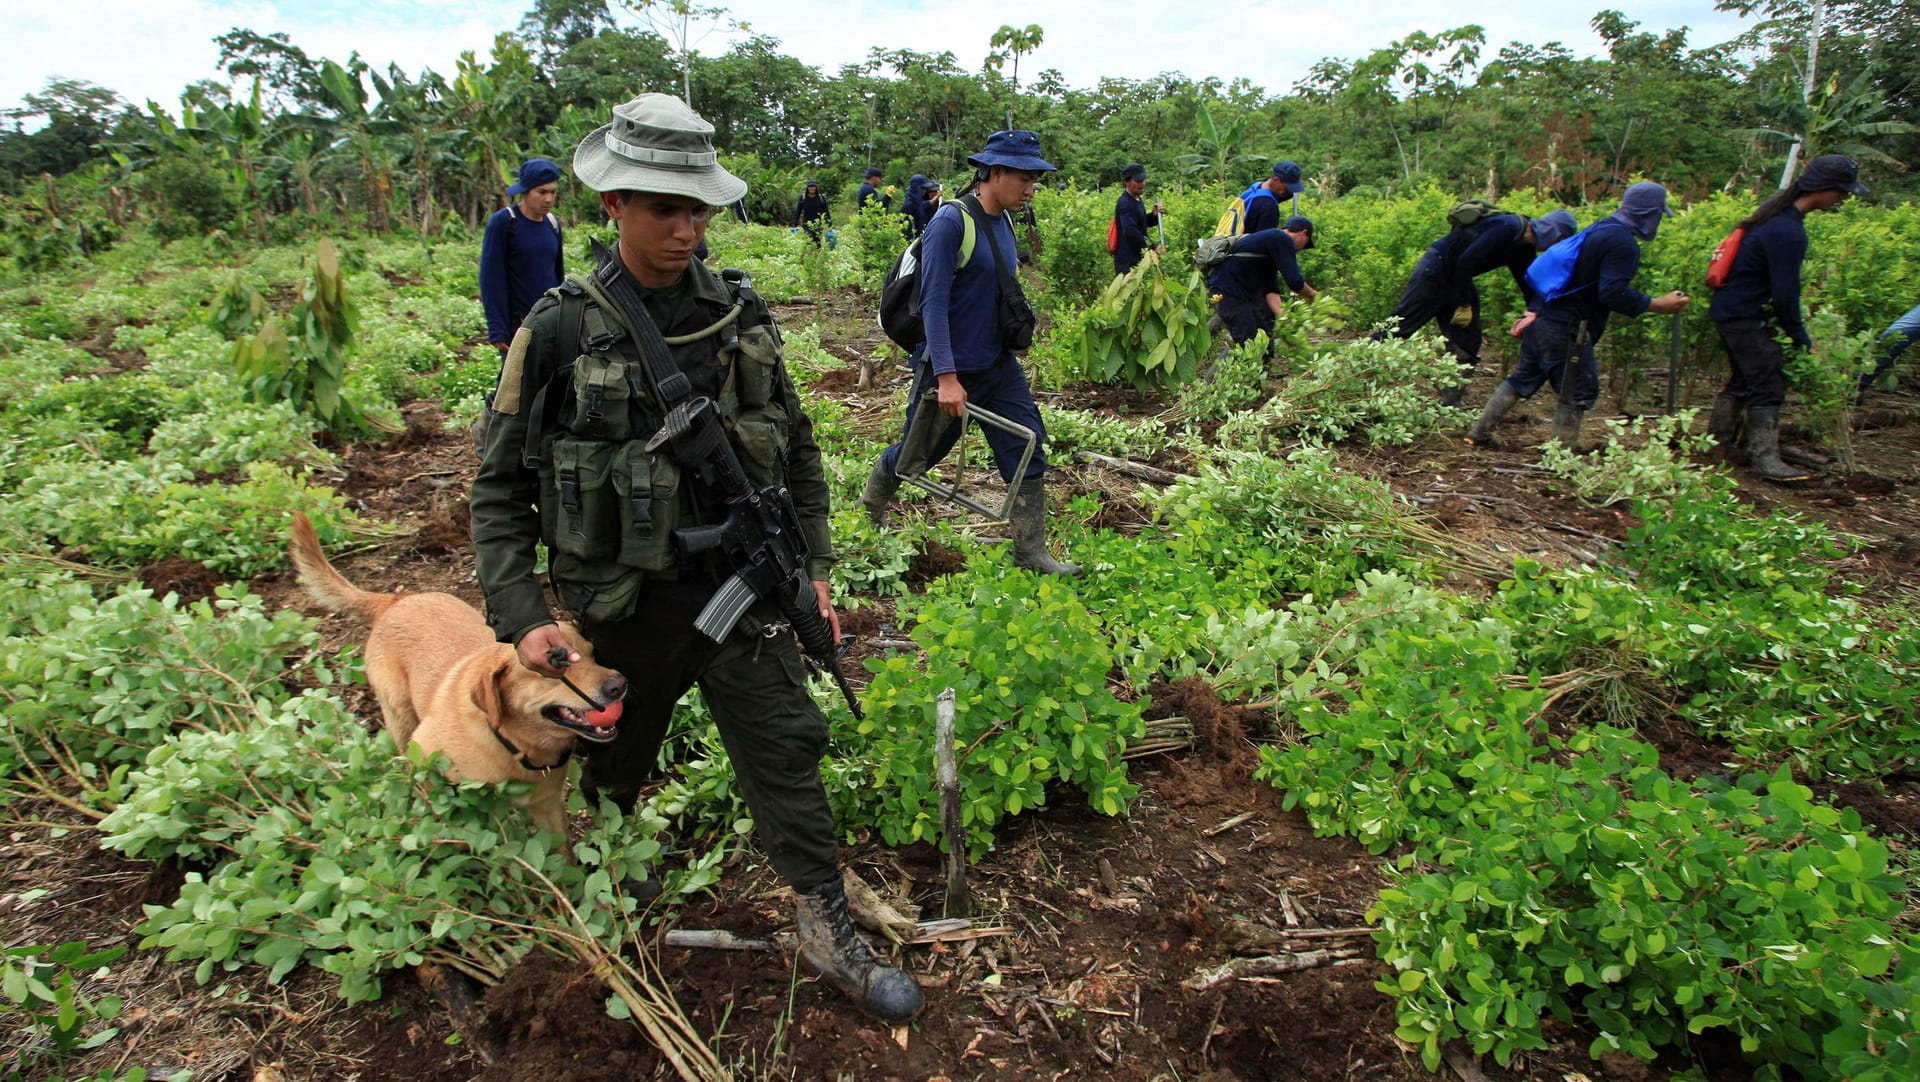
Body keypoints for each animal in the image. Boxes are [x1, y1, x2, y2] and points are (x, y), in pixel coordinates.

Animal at [288, 510, 625, 832]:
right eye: (556, 664)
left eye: (593, 653)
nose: (619, 685)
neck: (513, 744)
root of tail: (396, 600)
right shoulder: (426, 755)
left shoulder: (549, 808)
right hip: (401, 719)